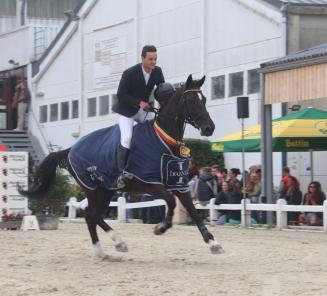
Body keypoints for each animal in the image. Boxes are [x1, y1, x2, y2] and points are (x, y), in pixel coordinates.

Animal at [21, 74, 226, 260]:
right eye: (191, 100)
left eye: (204, 99)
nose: (209, 128)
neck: (165, 140)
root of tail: (71, 149)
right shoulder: (149, 183)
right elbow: (171, 202)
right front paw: (161, 228)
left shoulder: (179, 185)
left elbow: (194, 212)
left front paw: (213, 243)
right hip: (93, 189)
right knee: (91, 215)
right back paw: (112, 245)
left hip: (106, 190)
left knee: (92, 215)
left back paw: (108, 248)